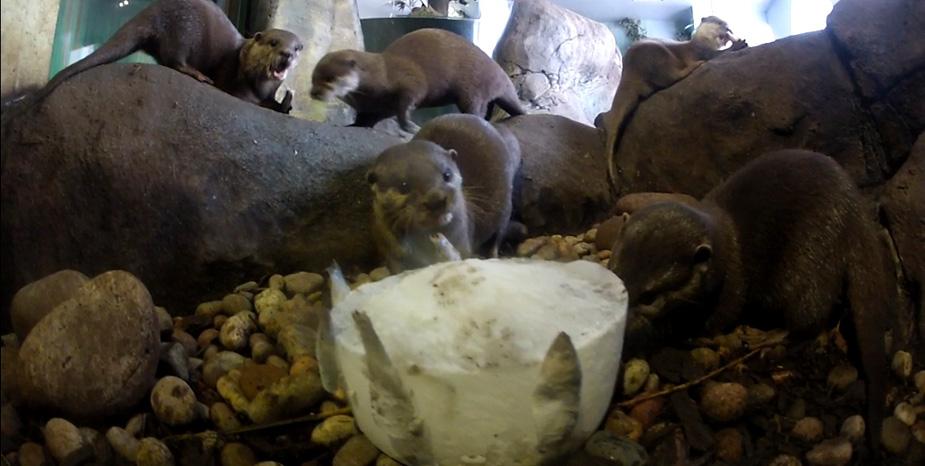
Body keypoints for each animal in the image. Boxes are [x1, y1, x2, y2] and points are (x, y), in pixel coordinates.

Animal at [36, 0, 302, 114]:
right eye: (273, 42)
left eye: (298, 47)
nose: (287, 54)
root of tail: (151, 11)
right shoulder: (236, 84)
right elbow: (247, 99)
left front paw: (285, 101)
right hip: (183, 33)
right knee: (174, 60)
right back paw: (199, 75)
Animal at [310, 28, 524, 132]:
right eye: (313, 79)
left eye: (330, 78)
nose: (314, 93)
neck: (381, 76)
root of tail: (502, 77)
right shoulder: (374, 107)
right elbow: (366, 119)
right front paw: (353, 126)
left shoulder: (410, 81)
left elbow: (407, 104)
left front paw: (411, 127)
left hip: (473, 87)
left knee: (476, 109)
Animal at [370, 114, 528, 272]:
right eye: (403, 186)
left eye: (447, 174)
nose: (435, 199)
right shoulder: (391, 251)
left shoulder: (464, 243)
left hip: (506, 206)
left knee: (499, 234)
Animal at [604, 16, 748, 187]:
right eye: (719, 23)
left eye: (727, 24)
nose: (728, 28)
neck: (700, 41)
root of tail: (628, 73)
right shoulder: (700, 50)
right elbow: (715, 54)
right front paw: (738, 44)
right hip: (658, 57)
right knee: (670, 76)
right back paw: (695, 66)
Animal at [608, 149, 892, 448]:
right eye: (616, 274)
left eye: (649, 297)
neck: (726, 249)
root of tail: (855, 211)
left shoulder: (732, 286)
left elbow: (719, 319)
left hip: (809, 258)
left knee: (808, 317)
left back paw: (764, 337)